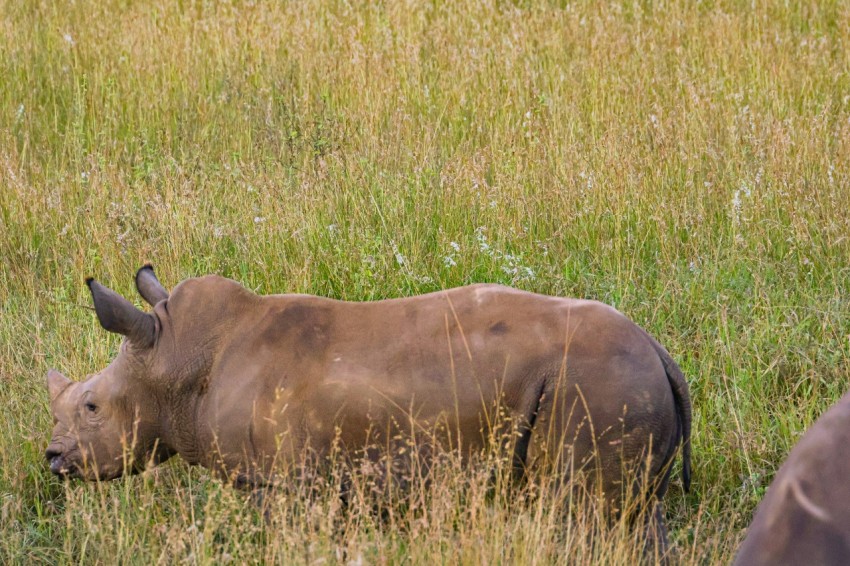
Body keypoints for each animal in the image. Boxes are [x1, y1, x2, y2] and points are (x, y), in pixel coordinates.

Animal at [46, 265, 691, 549]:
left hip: (598, 386)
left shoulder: (276, 484)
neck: (173, 357)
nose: (52, 458)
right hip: (617, 385)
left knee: (586, 517)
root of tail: (660, 352)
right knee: (634, 517)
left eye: (92, 407)